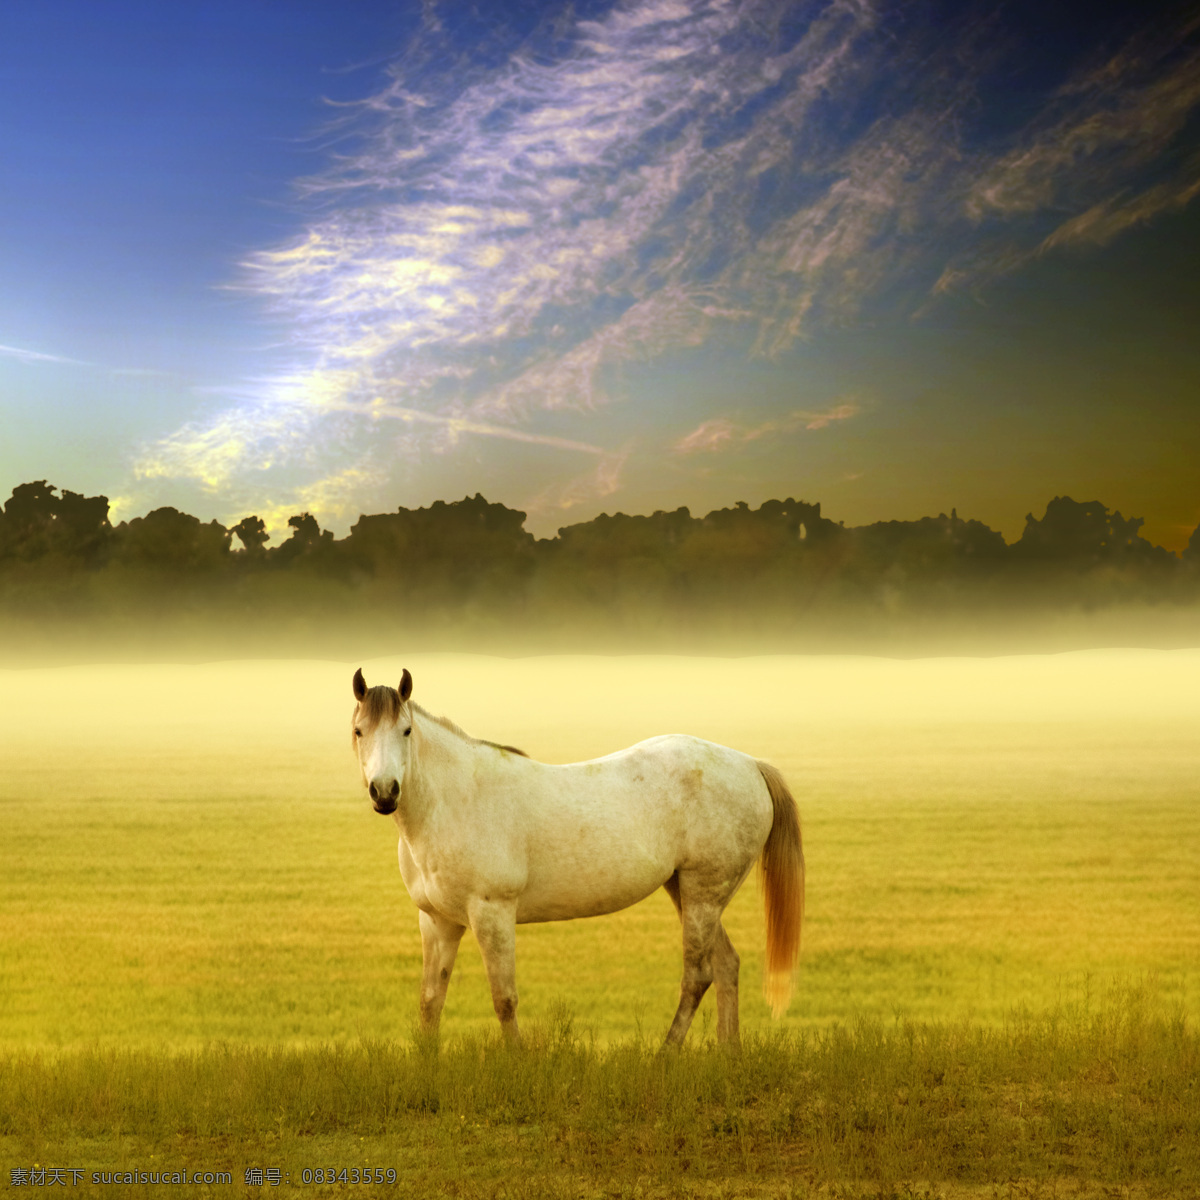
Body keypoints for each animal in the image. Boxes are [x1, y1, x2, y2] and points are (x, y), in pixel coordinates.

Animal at [350, 667, 801, 1041]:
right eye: (358, 731)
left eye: (407, 730)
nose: (385, 792)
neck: (453, 801)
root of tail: (750, 764)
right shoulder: (438, 921)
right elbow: (430, 1002)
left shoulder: (493, 913)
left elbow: (504, 999)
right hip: (688, 892)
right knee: (726, 965)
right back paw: (728, 1055)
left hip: (702, 895)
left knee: (697, 976)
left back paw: (664, 1056)